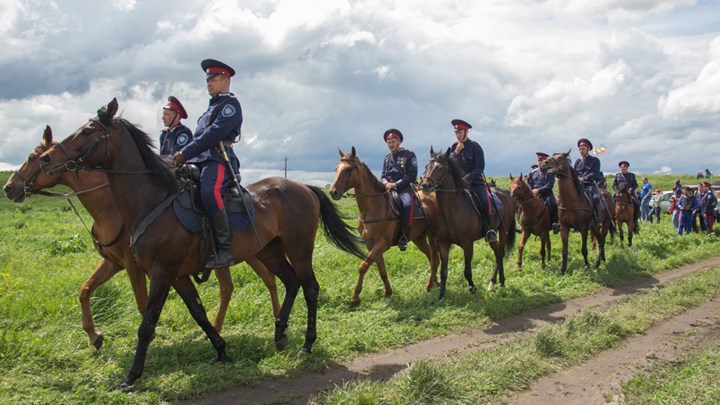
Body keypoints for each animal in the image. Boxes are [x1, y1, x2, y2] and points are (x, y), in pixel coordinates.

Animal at [3, 125, 282, 348]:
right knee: (238, 285)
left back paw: (275, 320)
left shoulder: (134, 265)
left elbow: (141, 303)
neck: (113, 207)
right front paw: (94, 336)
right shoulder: (113, 262)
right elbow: (85, 289)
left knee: (263, 280)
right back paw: (228, 326)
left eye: (33, 157)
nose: (8, 188)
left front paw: (152, 336)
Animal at [38, 98, 366, 388]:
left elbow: (147, 323)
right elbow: (198, 313)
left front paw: (132, 375)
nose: (46, 158)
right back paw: (280, 333)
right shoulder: (177, 275)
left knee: (310, 288)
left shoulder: (160, 273)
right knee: (290, 282)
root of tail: (305, 188)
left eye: (87, 131)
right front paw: (221, 350)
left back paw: (307, 344)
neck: (152, 200)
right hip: (268, 251)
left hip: (298, 250)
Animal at [326, 148, 438, 306]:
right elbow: (381, 269)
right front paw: (388, 292)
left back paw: (430, 285)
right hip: (419, 238)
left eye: (348, 169)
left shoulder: (382, 244)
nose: (333, 192)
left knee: (435, 259)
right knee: (430, 257)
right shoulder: (371, 245)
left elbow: (363, 266)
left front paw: (355, 297)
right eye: (336, 169)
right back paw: (435, 282)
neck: (373, 207)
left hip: (431, 235)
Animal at [420, 147, 516, 298]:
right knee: (497, 253)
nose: (425, 185)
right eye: (426, 166)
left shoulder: (468, 244)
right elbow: (443, 271)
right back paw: (499, 281)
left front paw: (472, 288)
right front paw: (441, 296)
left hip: (503, 230)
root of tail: (506, 193)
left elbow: (467, 271)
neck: (453, 210)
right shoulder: (443, 243)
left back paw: (494, 282)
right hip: (493, 235)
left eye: (440, 168)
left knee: (500, 253)